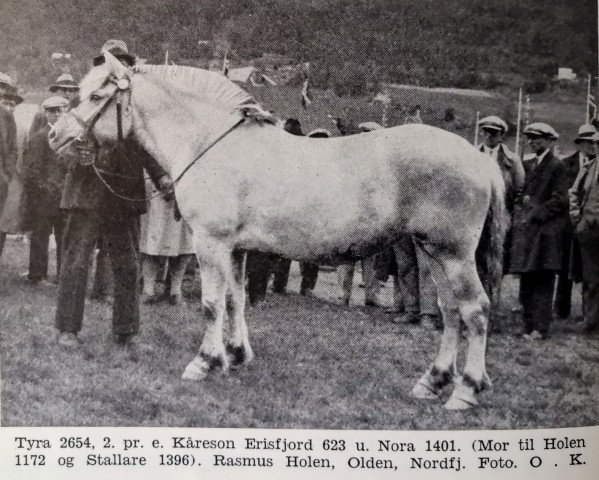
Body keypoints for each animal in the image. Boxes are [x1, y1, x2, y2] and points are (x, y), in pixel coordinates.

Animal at [51, 53, 508, 412]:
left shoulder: (210, 243)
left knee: (475, 310)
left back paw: (466, 391)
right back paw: (433, 381)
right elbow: (235, 300)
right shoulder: (235, 248)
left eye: (96, 97)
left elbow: (211, 304)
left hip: (453, 254)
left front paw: (204, 361)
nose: (56, 136)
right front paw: (235, 355)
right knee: (451, 312)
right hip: (433, 252)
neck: (209, 143)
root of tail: (480, 159)